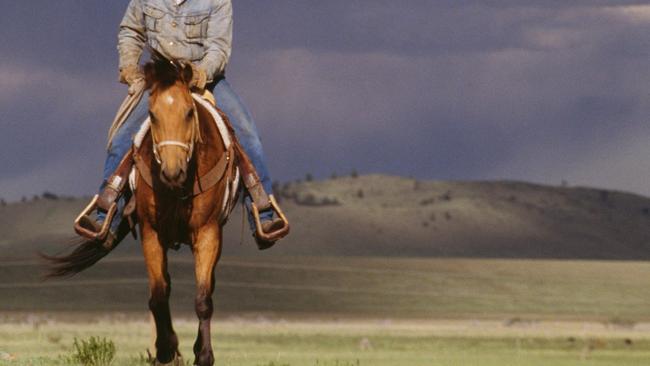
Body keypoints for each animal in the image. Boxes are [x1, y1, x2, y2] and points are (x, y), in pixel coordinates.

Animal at [43, 58, 235, 364]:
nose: (172, 172)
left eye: (189, 112)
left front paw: (203, 355)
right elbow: (158, 296)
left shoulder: (208, 233)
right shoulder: (151, 233)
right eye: (152, 114)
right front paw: (166, 350)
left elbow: (203, 298)